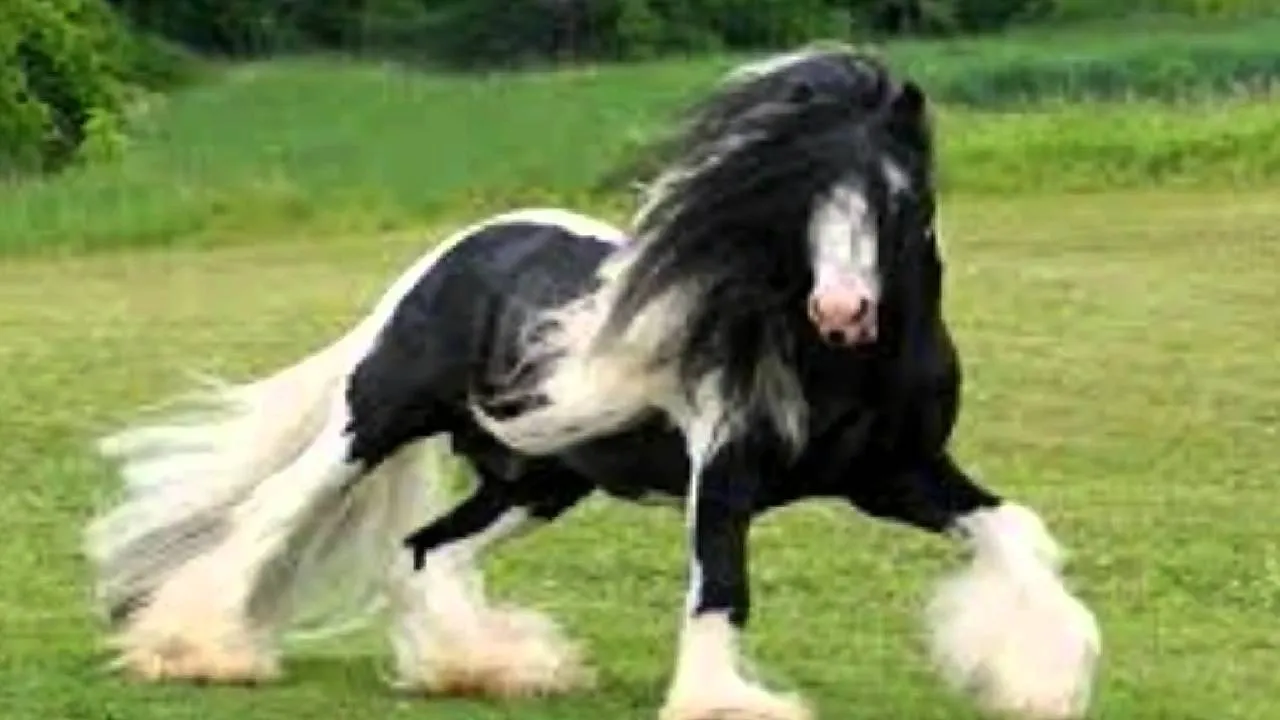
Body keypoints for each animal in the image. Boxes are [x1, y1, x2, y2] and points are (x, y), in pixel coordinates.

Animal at [83, 45, 1101, 720]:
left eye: (897, 195)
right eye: (793, 195)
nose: (844, 310)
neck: (842, 369)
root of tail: (455, 254)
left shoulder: (898, 477)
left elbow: (1016, 531)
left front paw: (1042, 676)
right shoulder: (726, 478)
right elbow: (722, 589)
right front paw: (723, 704)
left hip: (540, 478)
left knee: (426, 549)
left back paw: (486, 668)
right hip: (375, 419)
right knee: (274, 512)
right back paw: (197, 651)